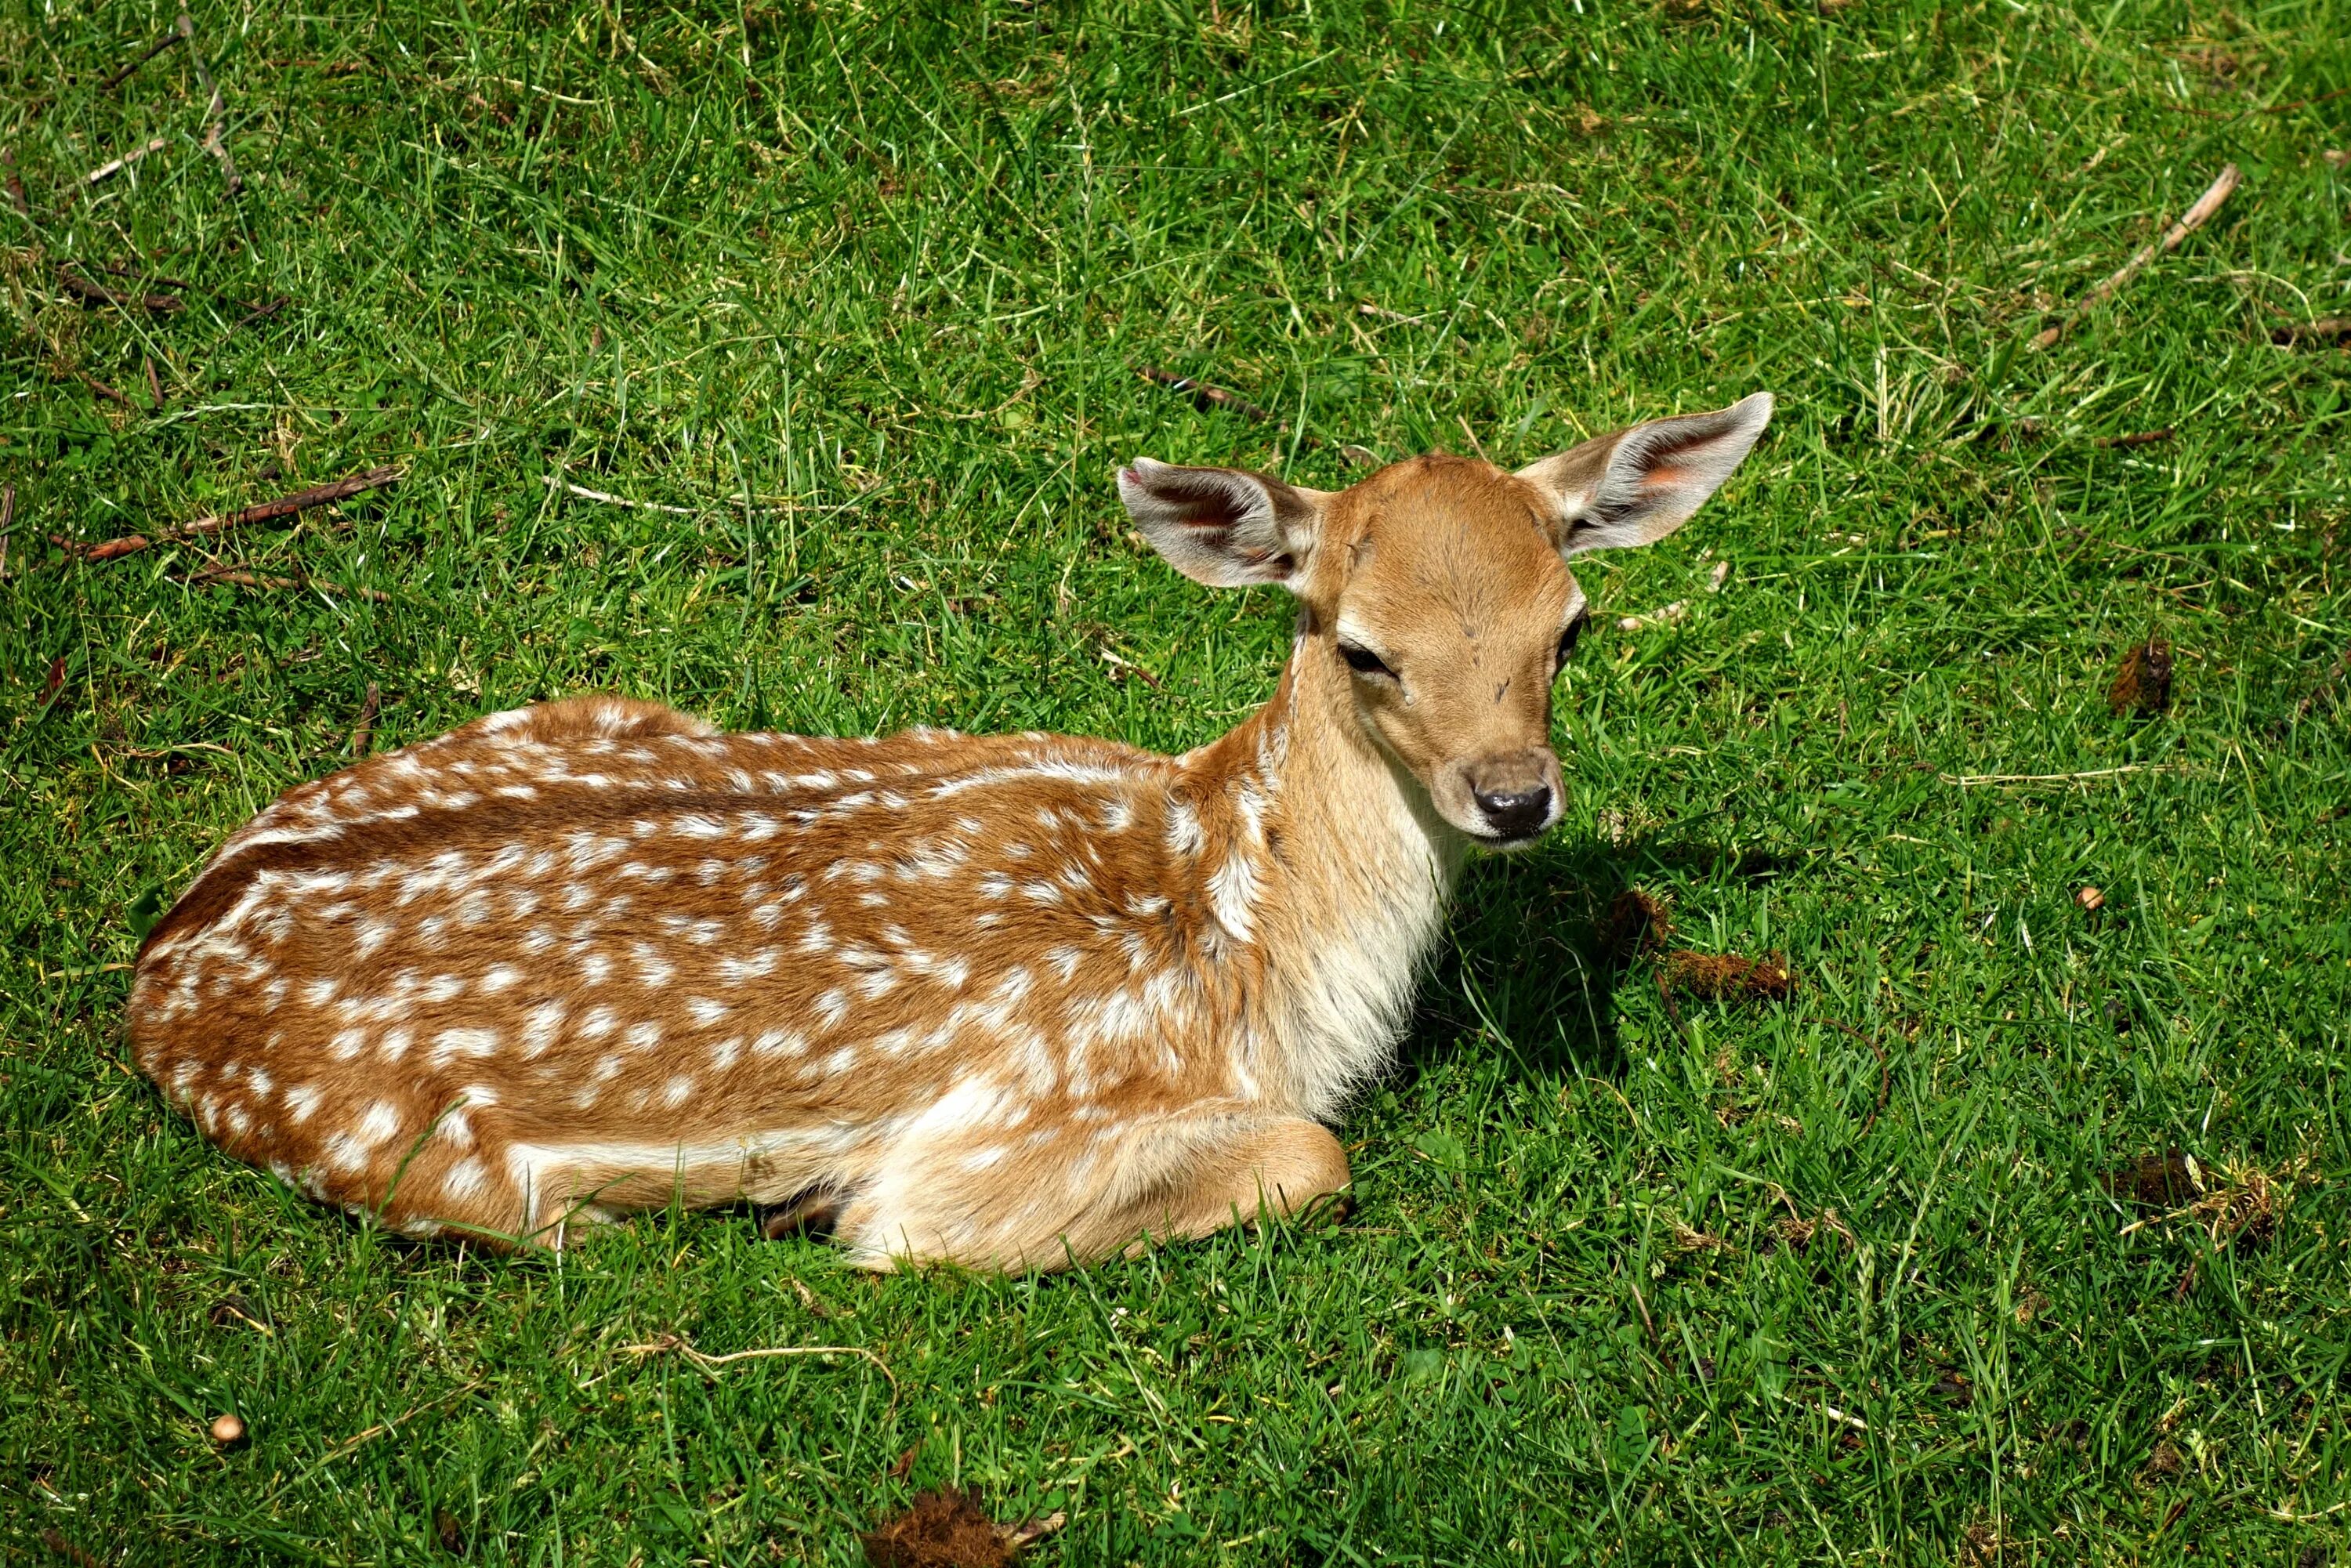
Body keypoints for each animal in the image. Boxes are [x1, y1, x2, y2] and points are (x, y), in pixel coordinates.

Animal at [129, 395, 1768, 1279]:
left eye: (1572, 625)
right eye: (1363, 648)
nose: (1516, 794)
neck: (1251, 935)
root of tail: (161, 962)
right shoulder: (1003, 1131)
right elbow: (1312, 1155)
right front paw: (823, 1208)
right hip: (409, 1157)